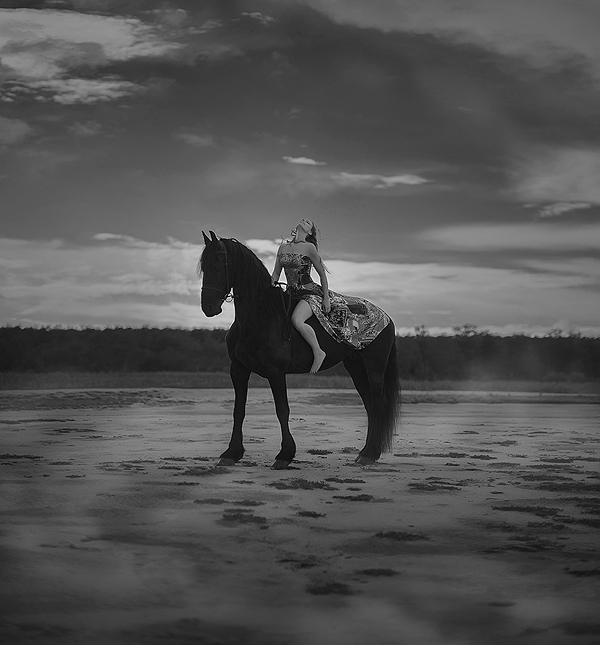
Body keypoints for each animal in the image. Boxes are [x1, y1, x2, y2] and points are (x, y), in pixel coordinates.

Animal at [198, 230, 400, 468]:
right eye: (204, 267)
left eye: (218, 264)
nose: (208, 307)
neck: (260, 315)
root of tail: (386, 317)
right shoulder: (238, 370)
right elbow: (238, 410)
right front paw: (232, 452)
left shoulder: (276, 373)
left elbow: (282, 410)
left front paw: (284, 455)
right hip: (356, 368)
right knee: (370, 405)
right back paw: (367, 452)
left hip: (374, 367)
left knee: (378, 404)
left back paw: (369, 454)